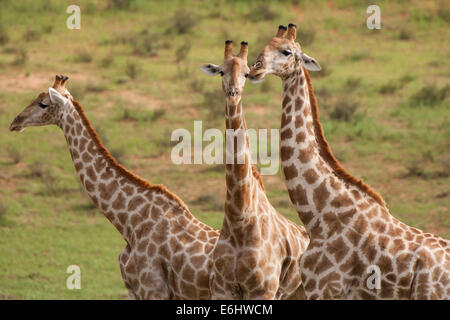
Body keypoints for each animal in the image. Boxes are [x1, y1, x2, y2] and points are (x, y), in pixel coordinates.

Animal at [200, 40, 310, 300]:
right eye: (221, 71)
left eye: (246, 74)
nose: (233, 94)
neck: (239, 218)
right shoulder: (222, 289)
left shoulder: (263, 290)